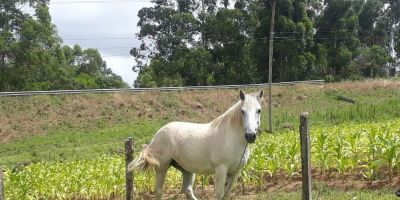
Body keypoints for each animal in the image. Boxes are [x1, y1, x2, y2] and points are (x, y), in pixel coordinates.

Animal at [128, 90, 264, 199]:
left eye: (259, 110)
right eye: (242, 111)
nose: (250, 135)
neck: (232, 138)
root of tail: (158, 134)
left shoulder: (234, 172)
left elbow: (227, 194)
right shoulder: (221, 170)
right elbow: (220, 194)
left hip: (186, 170)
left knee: (187, 190)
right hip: (162, 167)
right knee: (159, 191)